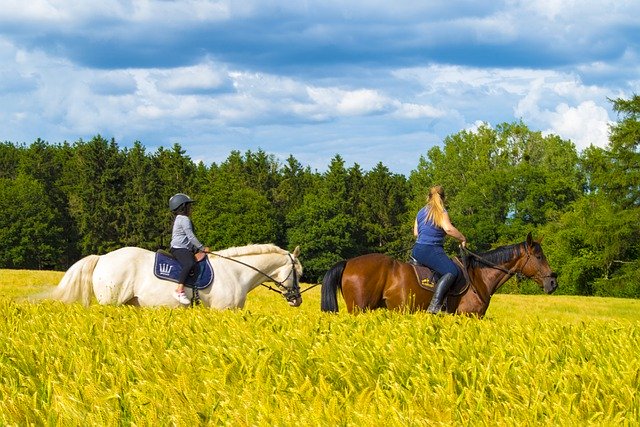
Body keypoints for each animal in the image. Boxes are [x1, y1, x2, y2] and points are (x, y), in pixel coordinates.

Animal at [322, 234, 556, 318]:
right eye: (539, 256)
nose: (553, 282)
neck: (479, 277)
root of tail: (349, 262)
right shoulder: (467, 317)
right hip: (359, 308)